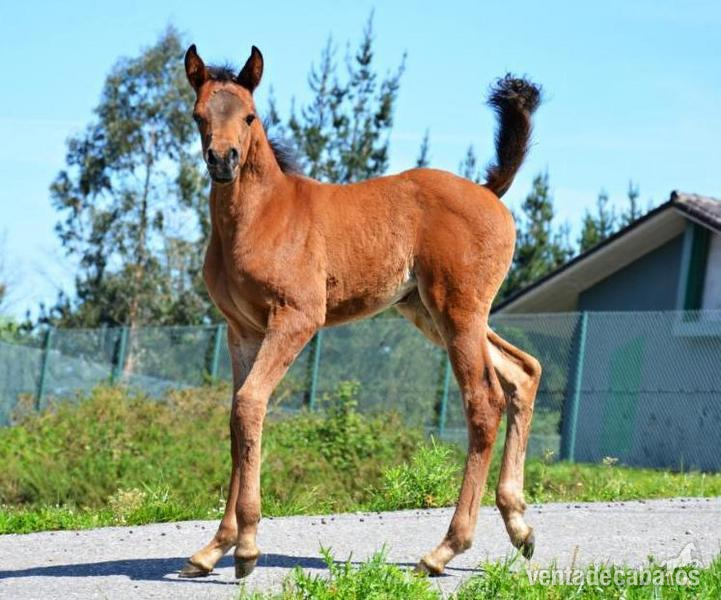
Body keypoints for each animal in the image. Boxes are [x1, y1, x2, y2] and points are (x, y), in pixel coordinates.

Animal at [178, 44, 542, 579]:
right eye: (199, 115)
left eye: (249, 116)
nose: (223, 161)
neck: (258, 217)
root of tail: (488, 190)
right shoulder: (241, 329)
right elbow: (237, 417)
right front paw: (213, 548)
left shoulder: (296, 318)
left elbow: (249, 406)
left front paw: (244, 548)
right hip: (433, 312)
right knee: (523, 372)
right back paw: (519, 526)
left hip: (457, 310)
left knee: (485, 402)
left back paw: (444, 549)